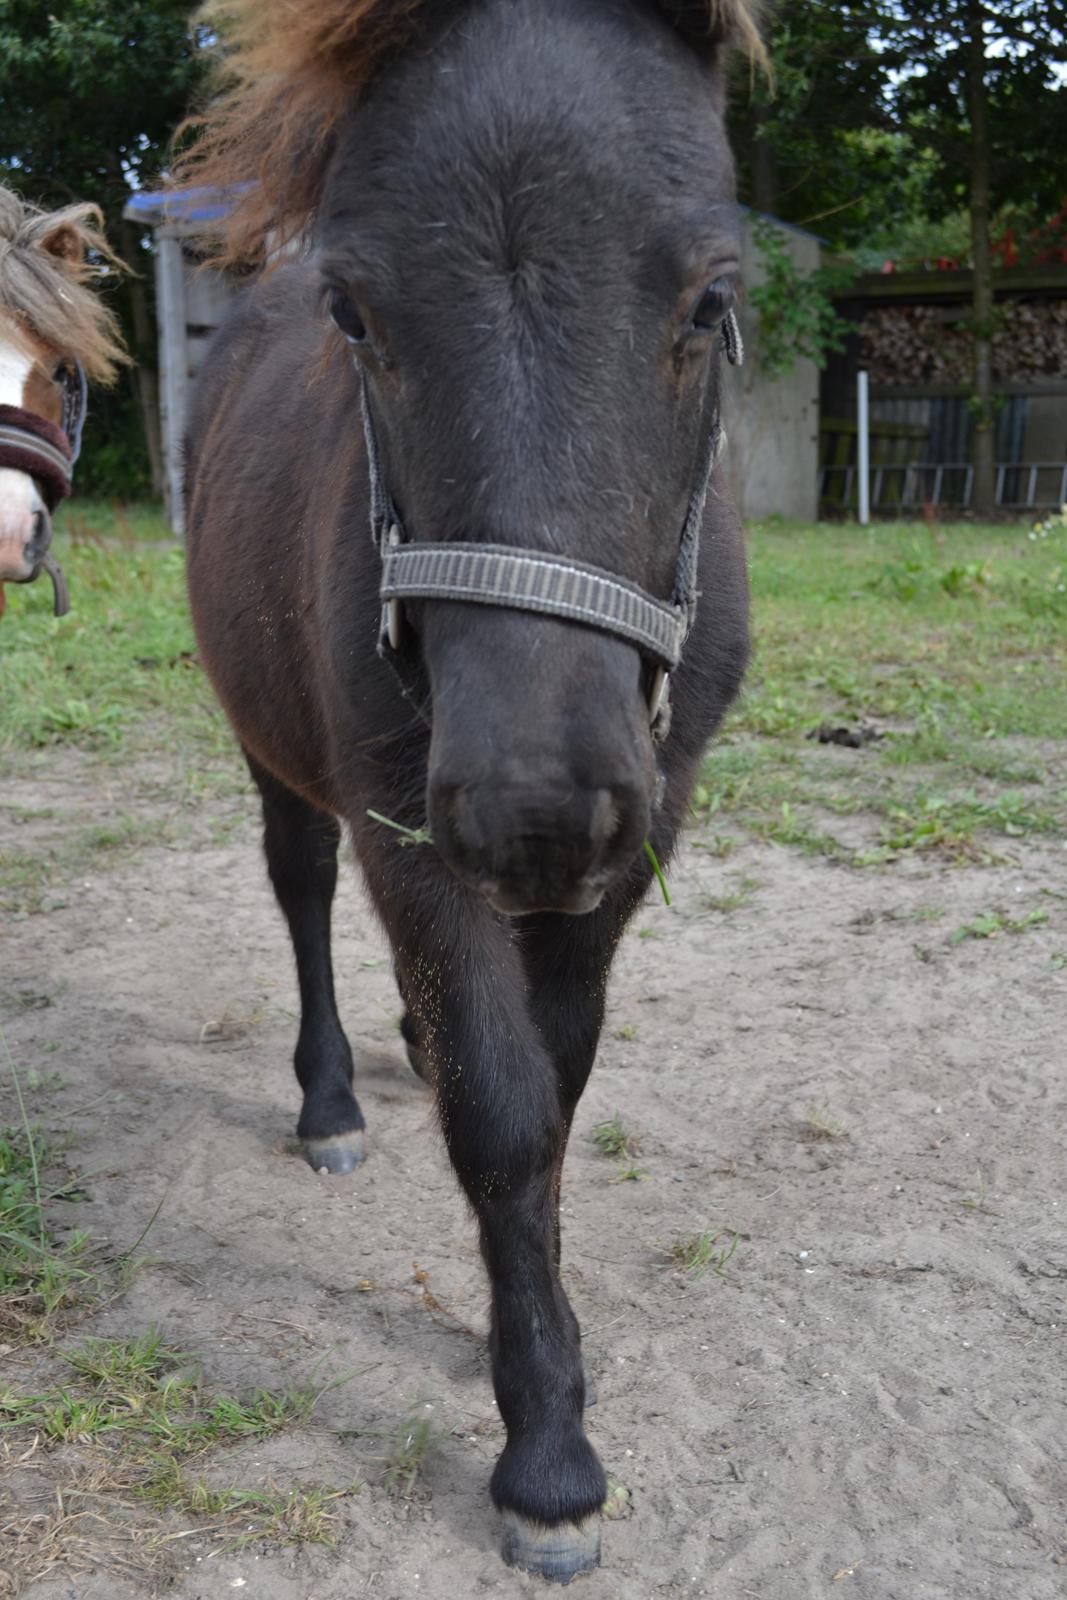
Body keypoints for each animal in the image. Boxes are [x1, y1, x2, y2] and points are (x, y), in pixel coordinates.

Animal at [183, 0, 758, 1574]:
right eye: (356, 317)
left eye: (711, 298)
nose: (534, 810)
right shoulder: (412, 836)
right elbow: (502, 1116)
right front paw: (546, 1453)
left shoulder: (636, 832)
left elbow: (551, 1093)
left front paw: (532, 1346)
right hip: (280, 754)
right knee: (301, 889)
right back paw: (332, 1099)